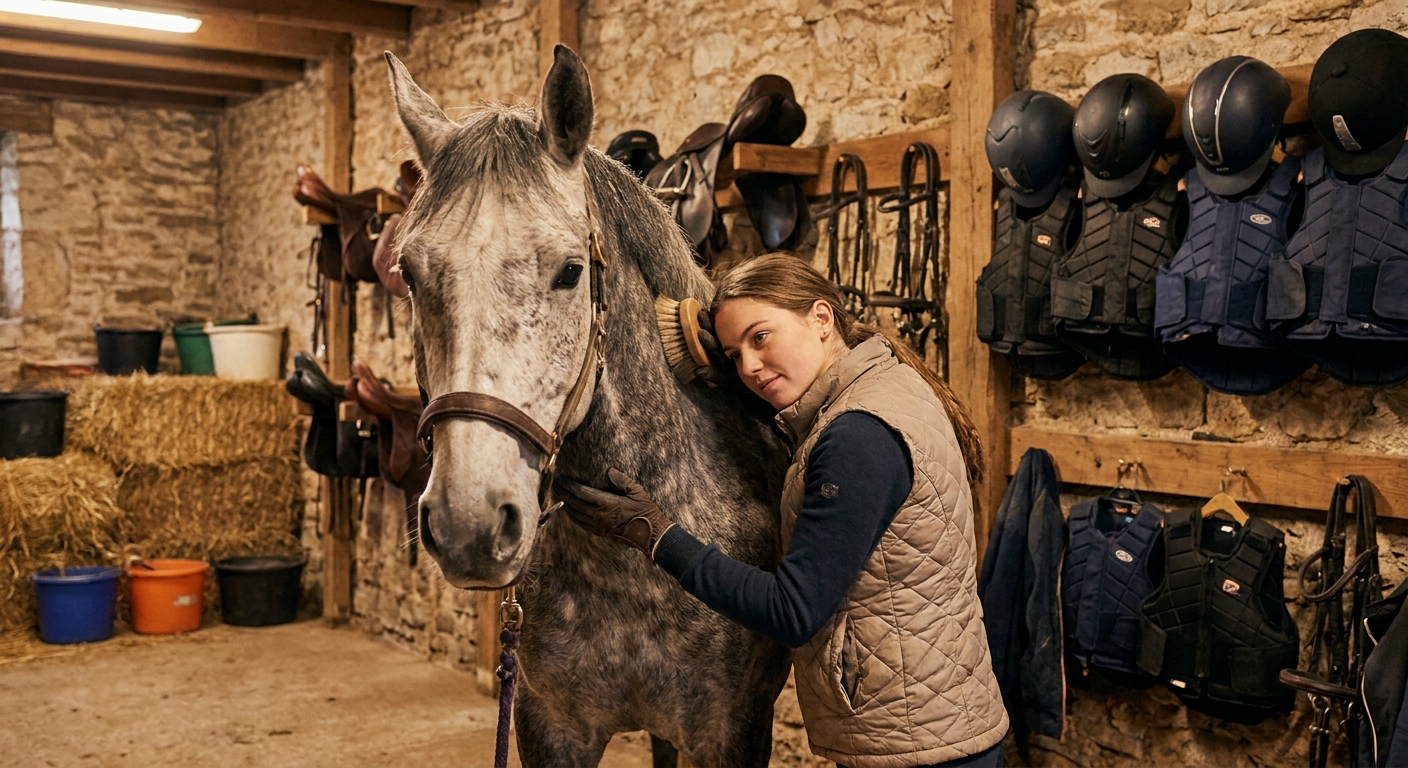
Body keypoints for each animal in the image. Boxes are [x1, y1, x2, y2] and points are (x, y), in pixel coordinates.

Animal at [384, 46, 793, 766]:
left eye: (570, 271)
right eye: (408, 273)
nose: (468, 522)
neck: (630, 561)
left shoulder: (733, 732)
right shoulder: (549, 725)